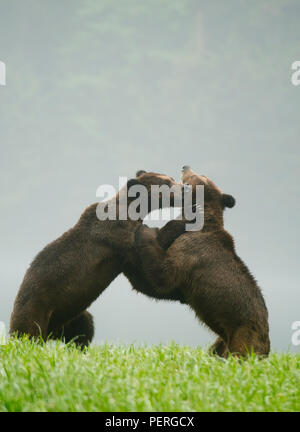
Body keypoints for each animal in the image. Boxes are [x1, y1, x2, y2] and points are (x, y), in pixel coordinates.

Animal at [9, 171, 183, 348]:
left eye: (170, 178)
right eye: (166, 183)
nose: (184, 188)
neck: (133, 210)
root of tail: (51, 332)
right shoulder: (118, 234)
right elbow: (152, 242)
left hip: (71, 315)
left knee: (83, 328)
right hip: (36, 309)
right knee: (29, 334)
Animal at [125, 166, 270, 358]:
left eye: (199, 176)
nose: (185, 166)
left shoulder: (191, 253)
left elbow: (161, 279)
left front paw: (144, 232)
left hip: (243, 337)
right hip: (222, 340)